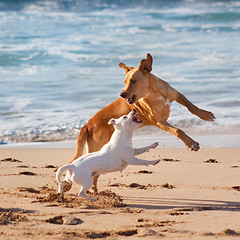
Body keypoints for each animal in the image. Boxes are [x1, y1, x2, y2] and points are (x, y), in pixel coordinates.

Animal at [61, 53, 214, 193]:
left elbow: (191, 106)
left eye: (133, 81)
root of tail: (87, 124)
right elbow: (178, 130)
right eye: (124, 82)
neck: (154, 93)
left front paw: (205, 115)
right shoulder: (160, 122)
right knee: (90, 172)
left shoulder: (176, 95)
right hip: (97, 148)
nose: (121, 94)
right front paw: (191, 143)